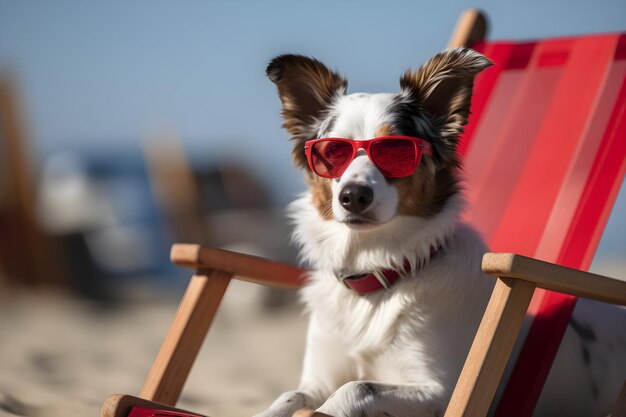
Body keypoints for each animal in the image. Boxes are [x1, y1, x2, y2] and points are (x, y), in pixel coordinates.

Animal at [256, 48, 624, 416]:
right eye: (333, 151)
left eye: (396, 150)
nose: (353, 196)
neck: (376, 276)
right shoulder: (317, 380)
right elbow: (290, 396)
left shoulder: (444, 392)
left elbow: (356, 387)